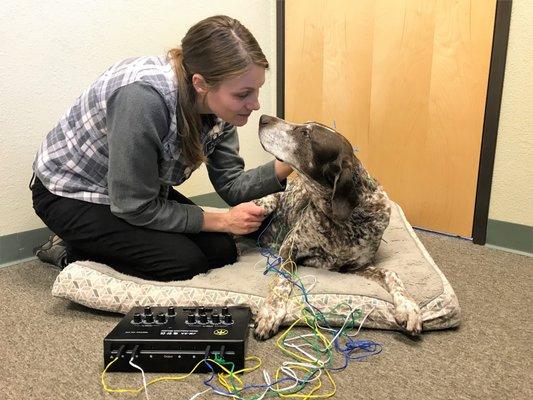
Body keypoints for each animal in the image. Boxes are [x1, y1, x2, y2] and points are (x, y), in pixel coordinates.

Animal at [251, 115, 422, 340]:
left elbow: (391, 273)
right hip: (263, 205)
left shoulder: (355, 267)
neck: (345, 221)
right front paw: (271, 311)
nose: (263, 118)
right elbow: (283, 279)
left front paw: (408, 306)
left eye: (306, 134)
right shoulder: (290, 246)